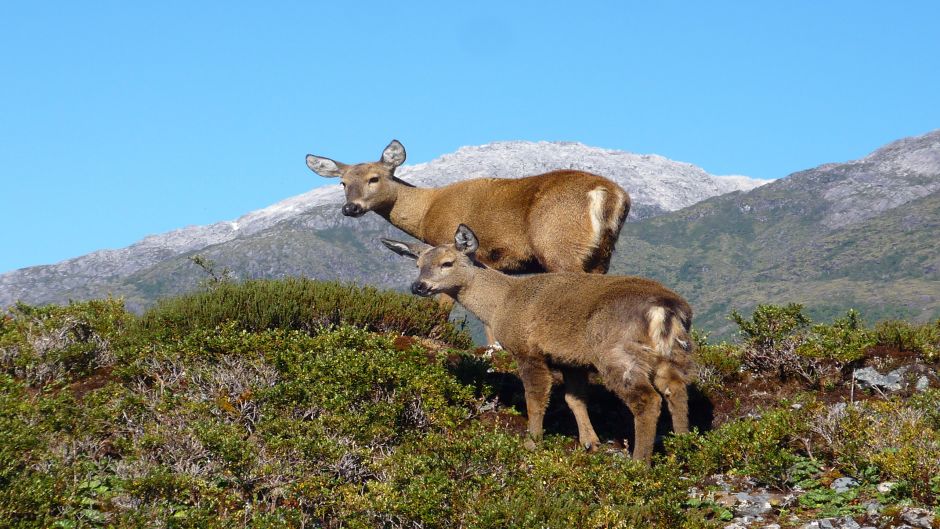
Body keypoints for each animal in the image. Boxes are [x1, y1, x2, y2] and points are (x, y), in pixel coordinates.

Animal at [378, 224, 692, 462]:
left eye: (447, 263)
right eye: (418, 264)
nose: (418, 286)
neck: (500, 303)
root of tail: (666, 308)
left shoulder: (528, 349)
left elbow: (536, 397)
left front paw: (532, 441)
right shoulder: (570, 358)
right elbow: (574, 399)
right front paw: (590, 442)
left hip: (616, 352)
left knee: (647, 400)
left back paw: (640, 463)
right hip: (673, 354)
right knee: (676, 390)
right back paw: (684, 445)